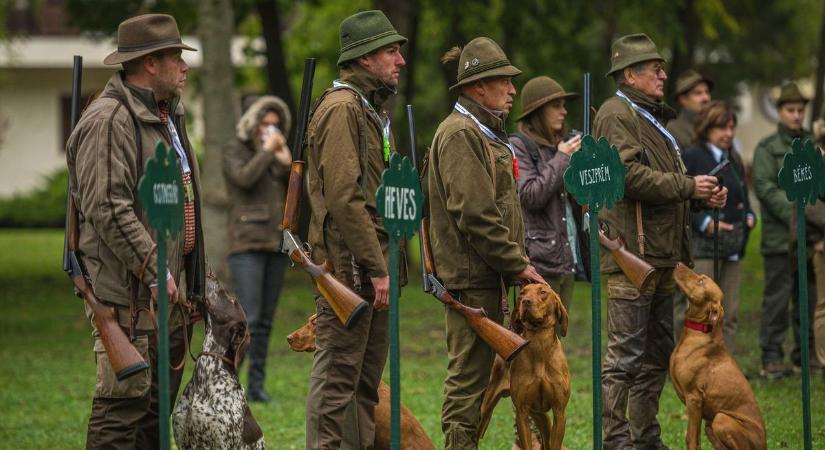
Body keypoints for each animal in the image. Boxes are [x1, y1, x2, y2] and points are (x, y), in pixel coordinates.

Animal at [480, 284, 568, 450]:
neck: (540, 345)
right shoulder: (522, 412)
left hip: (542, 417)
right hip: (484, 410)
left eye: (543, 292)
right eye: (522, 293)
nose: (525, 301)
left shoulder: (559, 411)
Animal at [668, 262, 768, 448]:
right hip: (710, 425)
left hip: (721, 418)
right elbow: (694, 438)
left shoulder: (694, 399)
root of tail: (764, 445)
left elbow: (691, 439)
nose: (678, 263)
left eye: (701, 281)